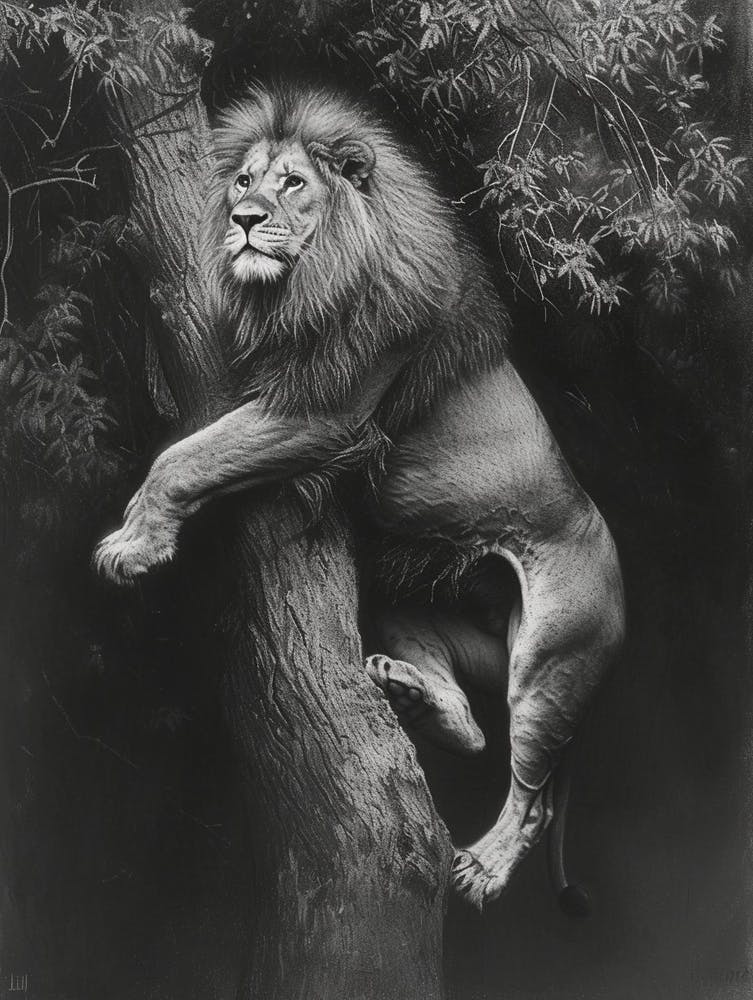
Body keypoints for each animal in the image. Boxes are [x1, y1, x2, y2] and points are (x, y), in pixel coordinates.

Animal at [94, 81, 626, 910]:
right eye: (242, 181)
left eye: (292, 184)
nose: (244, 221)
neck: (305, 281)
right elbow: (178, 421)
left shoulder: (326, 406)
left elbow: (183, 458)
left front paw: (133, 547)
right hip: (426, 613)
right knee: (472, 725)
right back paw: (406, 693)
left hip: (551, 659)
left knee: (530, 791)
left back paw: (483, 866)